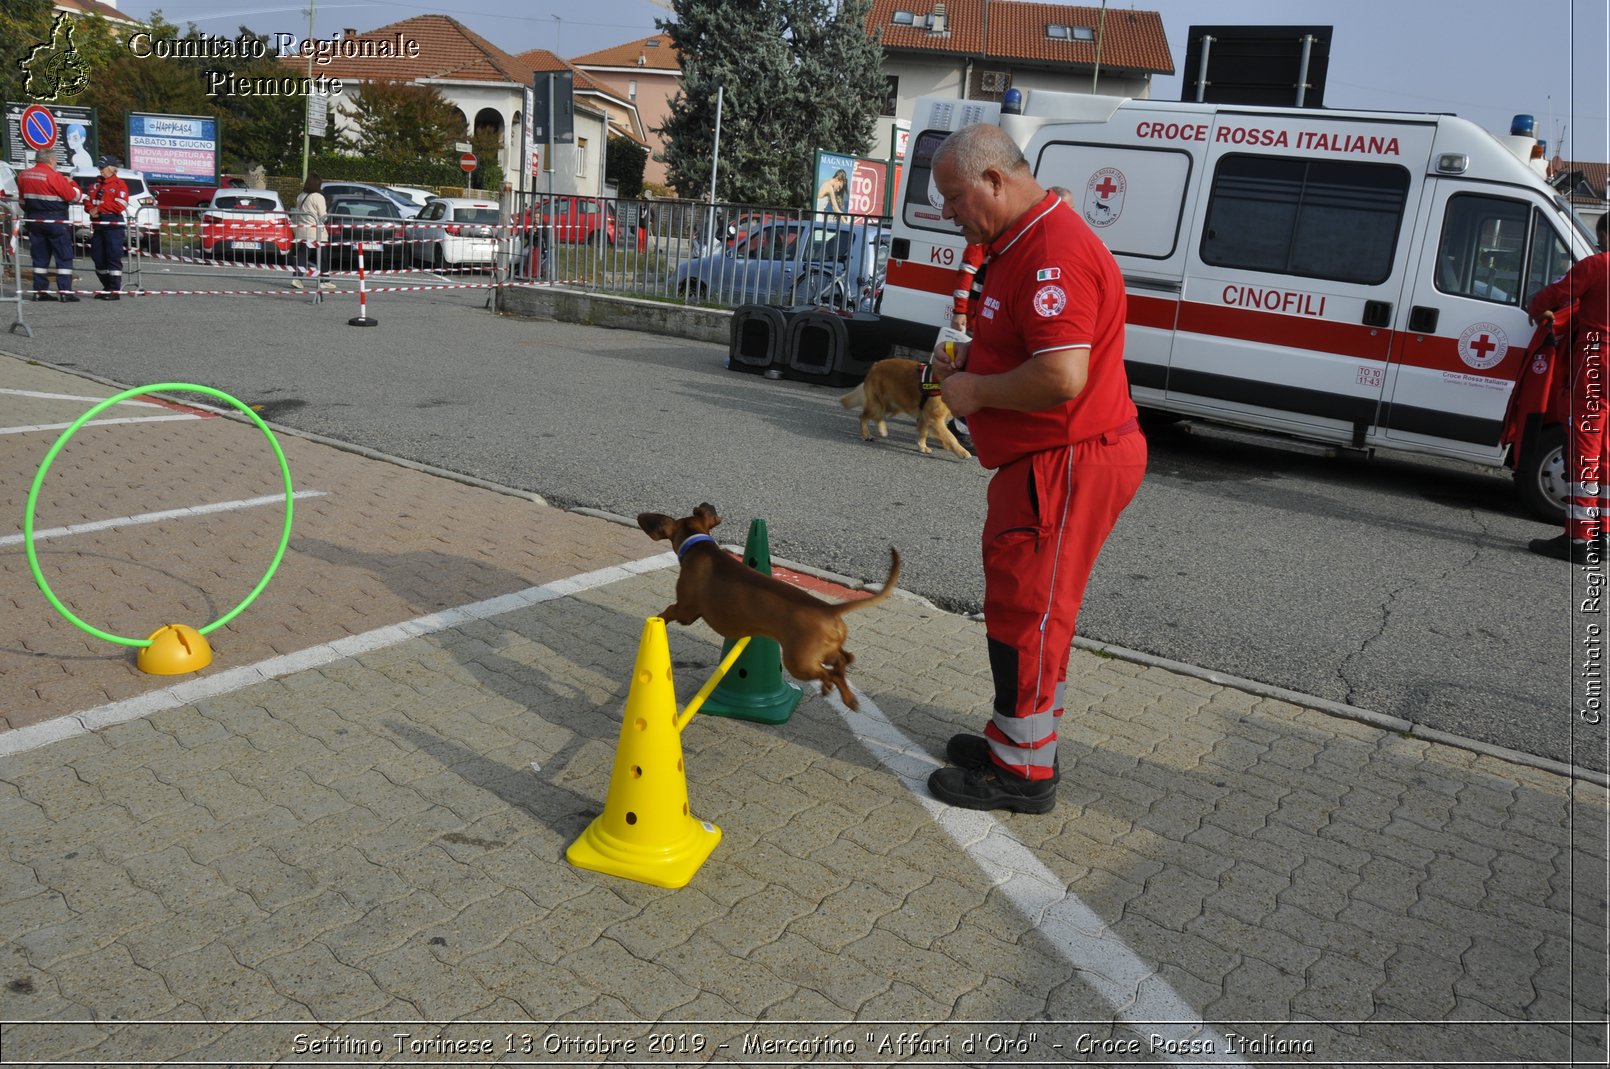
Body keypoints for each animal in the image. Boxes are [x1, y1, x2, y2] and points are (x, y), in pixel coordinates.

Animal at [634, 502, 901, 708]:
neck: (700, 547)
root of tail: (828, 608)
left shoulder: (686, 610)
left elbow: (669, 612)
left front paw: (660, 618)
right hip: (826, 651)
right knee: (845, 659)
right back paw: (842, 689)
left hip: (799, 662)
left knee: (831, 672)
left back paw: (839, 693)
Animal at [837, 359, 972, 460]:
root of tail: (875, 366)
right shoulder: (934, 418)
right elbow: (950, 437)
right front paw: (962, 451)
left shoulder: (926, 417)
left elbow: (924, 433)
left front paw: (922, 446)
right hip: (878, 405)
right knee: (863, 416)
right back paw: (867, 434)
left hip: (890, 405)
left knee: (877, 417)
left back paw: (882, 429)